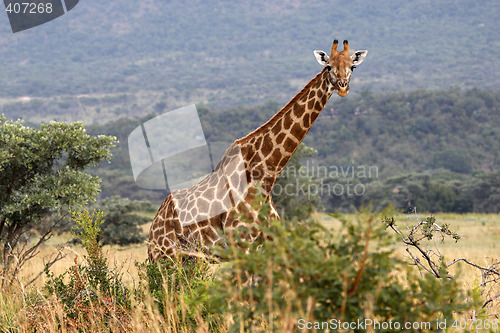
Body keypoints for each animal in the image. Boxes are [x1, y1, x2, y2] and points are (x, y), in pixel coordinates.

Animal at [148, 39, 368, 262]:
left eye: (353, 66)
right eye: (328, 66)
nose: (342, 87)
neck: (265, 179)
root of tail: (153, 224)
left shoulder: (267, 243)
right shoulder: (240, 244)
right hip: (166, 256)